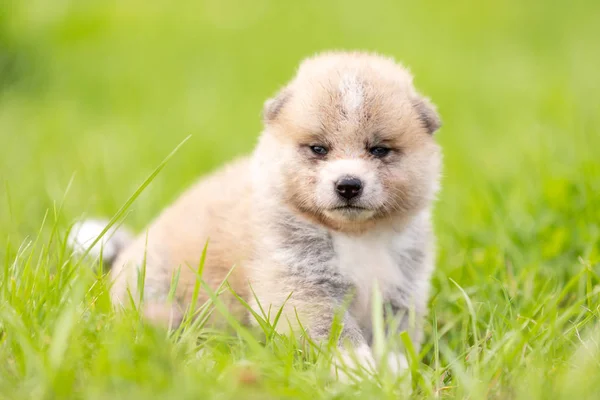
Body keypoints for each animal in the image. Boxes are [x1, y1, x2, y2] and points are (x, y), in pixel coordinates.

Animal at [71, 51, 446, 380]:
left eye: (379, 150)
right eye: (319, 149)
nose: (349, 184)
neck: (356, 236)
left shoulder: (402, 291)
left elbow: (396, 336)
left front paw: (396, 369)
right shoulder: (301, 289)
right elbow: (336, 332)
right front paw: (358, 369)